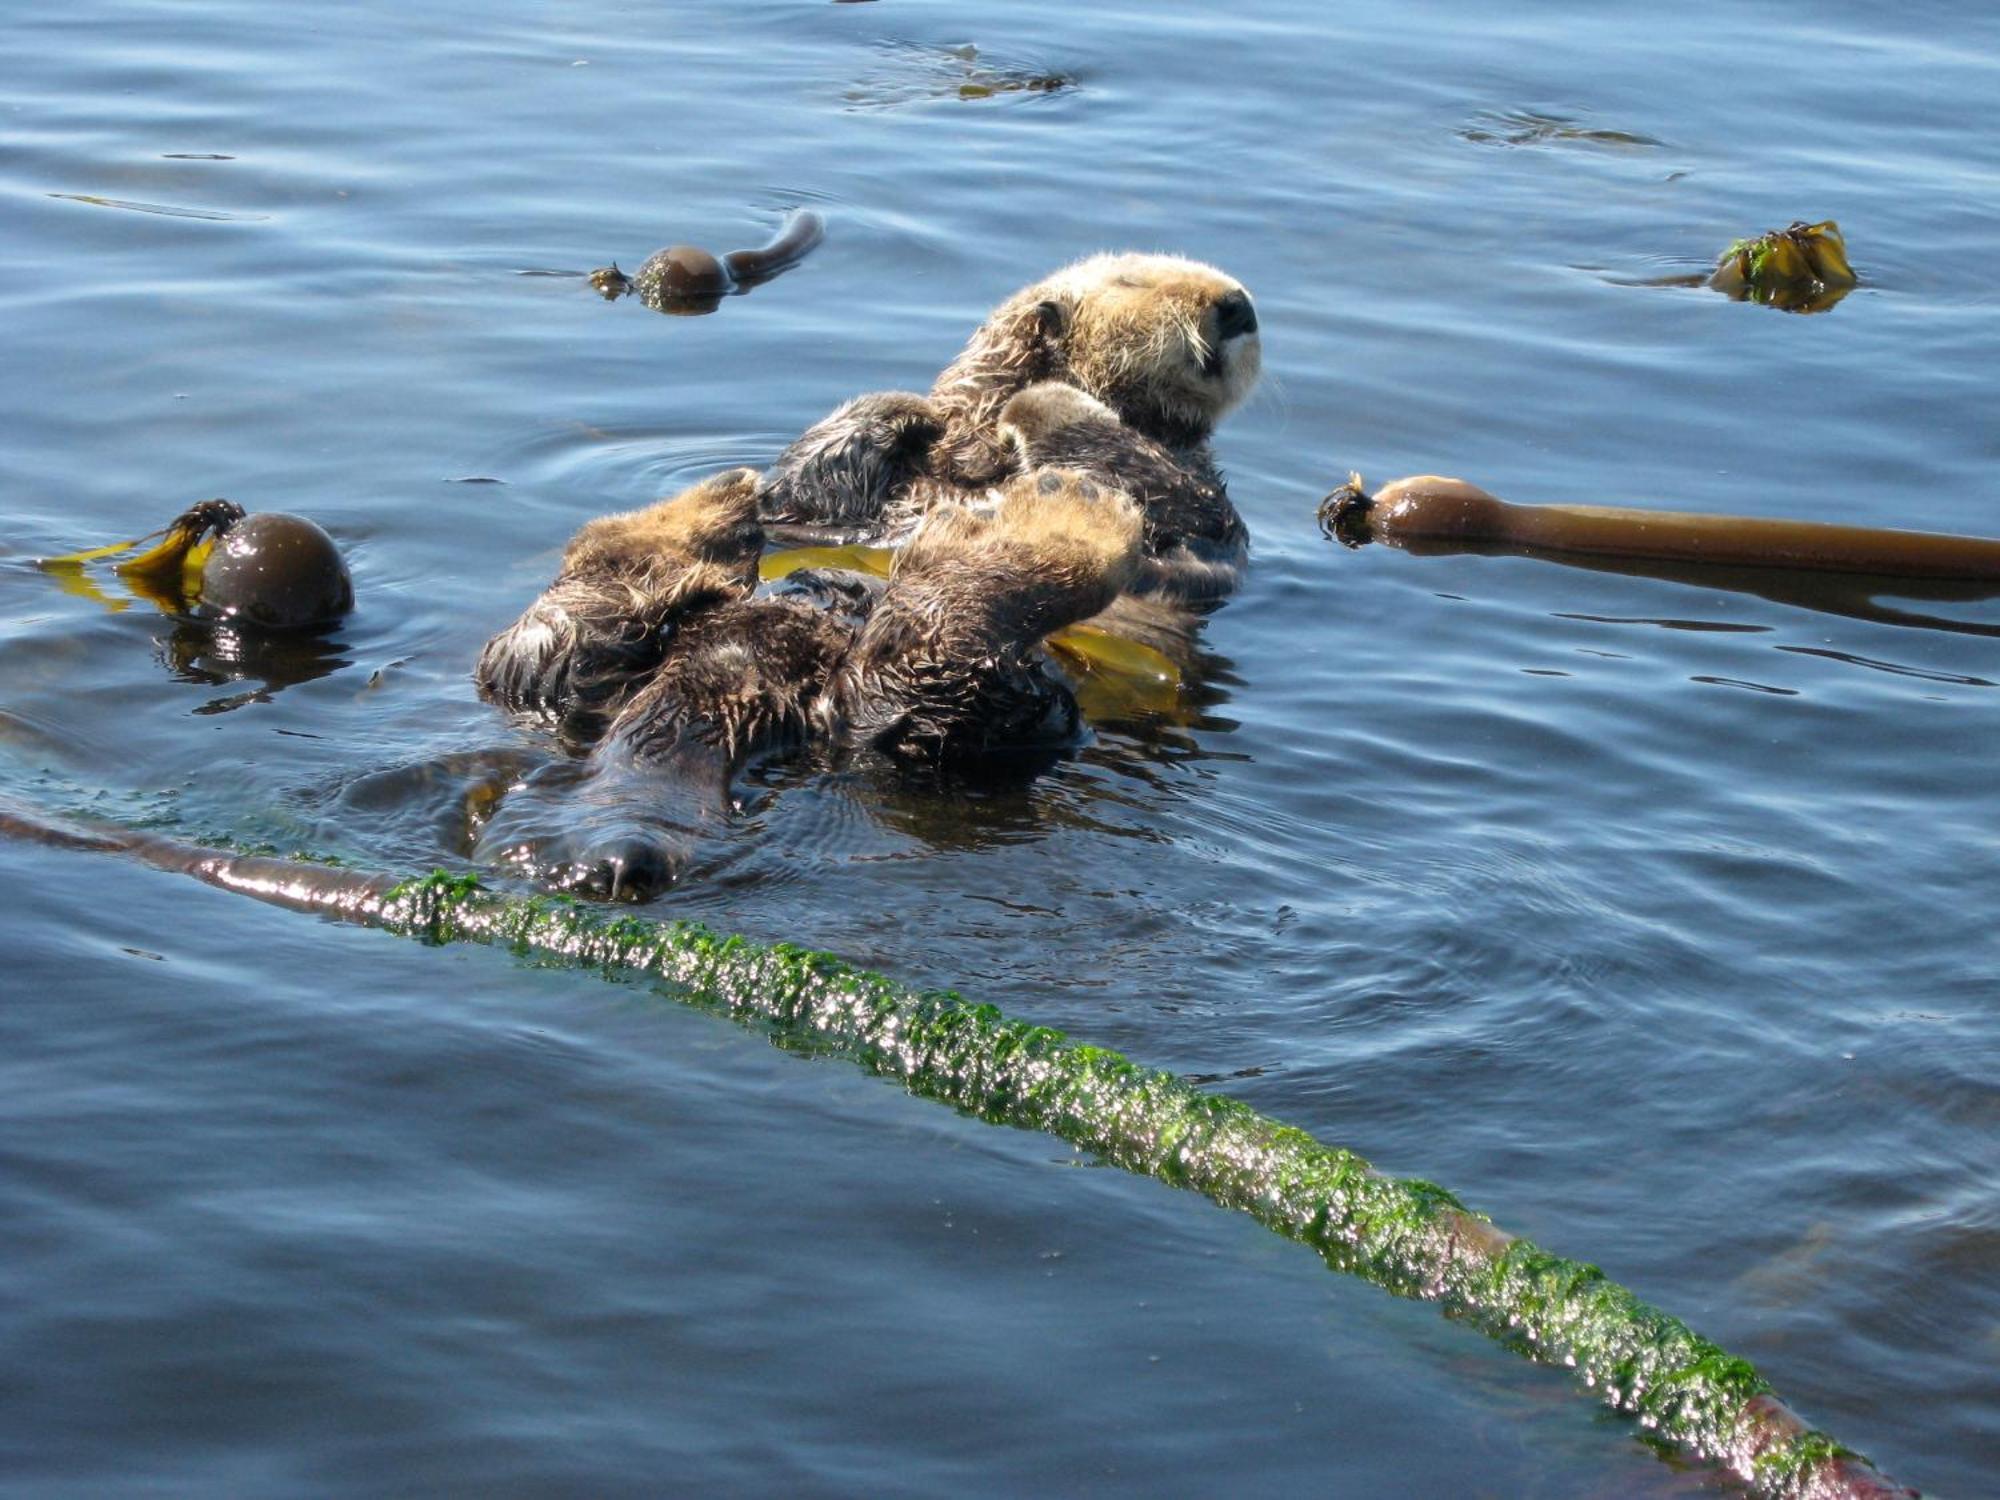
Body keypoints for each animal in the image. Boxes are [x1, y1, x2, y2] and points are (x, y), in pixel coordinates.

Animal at [752, 253, 1248, 600]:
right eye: (1132, 281)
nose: (1239, 307)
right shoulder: (815, 516)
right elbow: (790, 493)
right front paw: (913, 411)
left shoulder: (1208, 523)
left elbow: (1192, 505)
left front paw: (1049, 405)